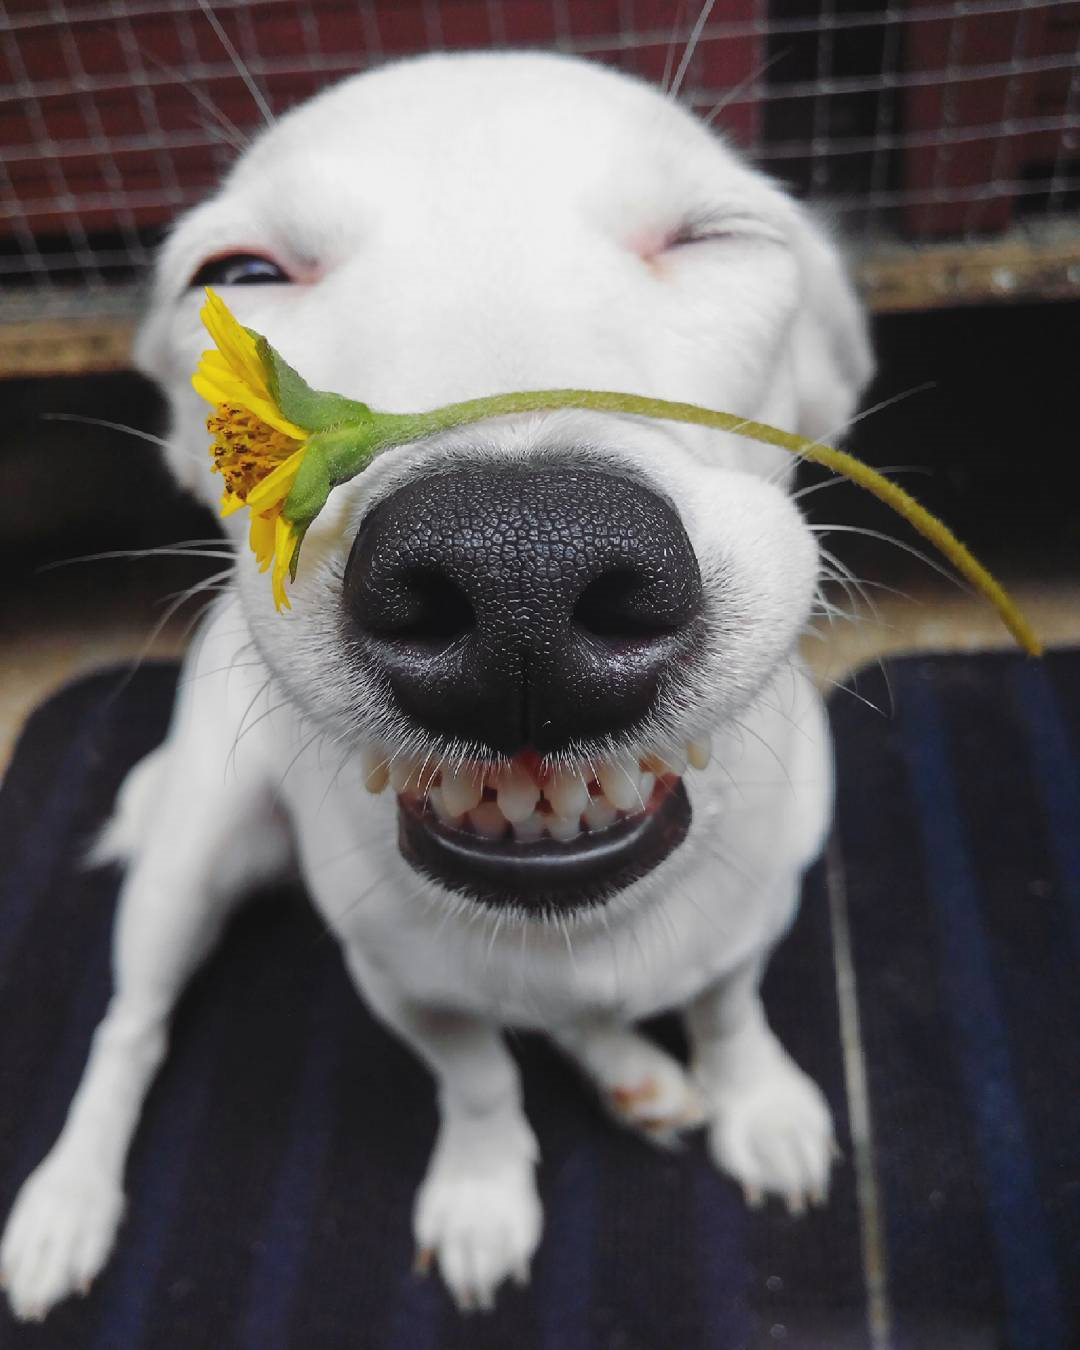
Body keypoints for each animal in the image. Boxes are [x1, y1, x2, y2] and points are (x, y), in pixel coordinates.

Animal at [0, 49, 874, 1317]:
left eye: (714, 237)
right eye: (239, 275)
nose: (522, 576)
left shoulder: (755, 911)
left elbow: (727, 1006)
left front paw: (752, 1098)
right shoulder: (400, 980)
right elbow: (475, 1077)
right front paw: (481, 1189)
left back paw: (629, 1066)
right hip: (187, 859)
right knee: (131, 1027)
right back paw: (67, 1201)